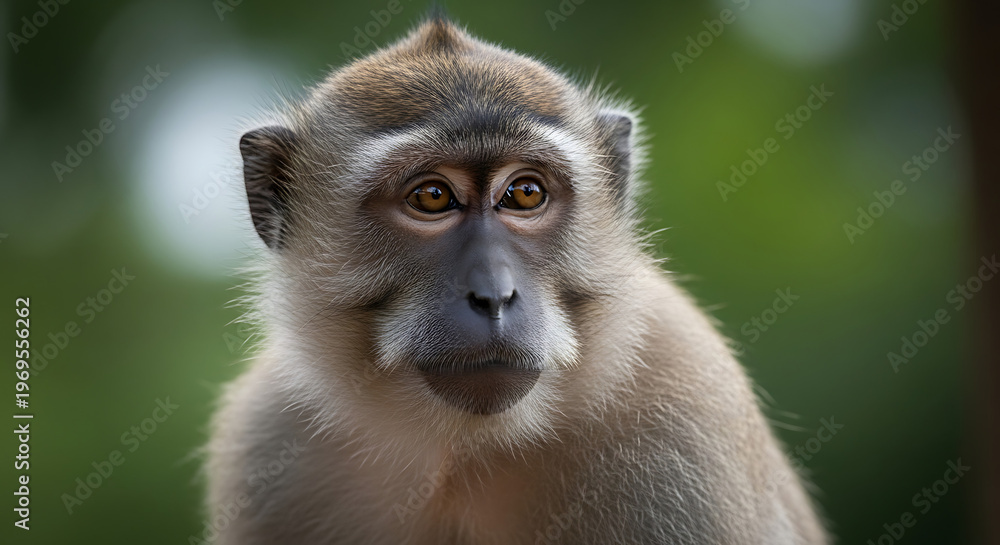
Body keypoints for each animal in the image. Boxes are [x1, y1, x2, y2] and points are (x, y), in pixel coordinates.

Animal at [204, 16, 829, 545]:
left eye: (525, 193)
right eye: (432, 197)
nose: (494, 295)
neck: (464, 451)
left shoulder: (685, 411)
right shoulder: (268, 447)